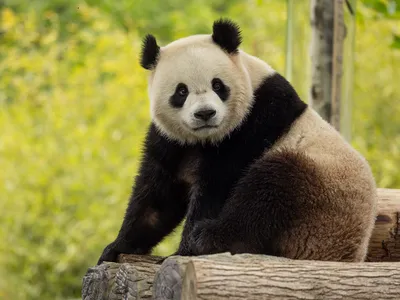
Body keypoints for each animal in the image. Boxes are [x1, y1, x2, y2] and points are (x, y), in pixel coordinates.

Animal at [96, 18, 376, 264]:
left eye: (218, 85)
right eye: (181, 91)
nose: (205, 113)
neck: (204, 139)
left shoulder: (253, 123)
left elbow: (218, 186)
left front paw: (184, 250)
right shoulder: (171, 141)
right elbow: (157, 197)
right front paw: (116, 248)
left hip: (320, 199)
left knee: (270, 189)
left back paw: (209, 237)